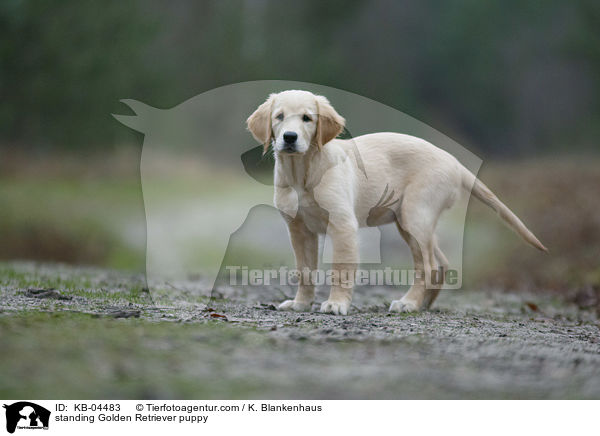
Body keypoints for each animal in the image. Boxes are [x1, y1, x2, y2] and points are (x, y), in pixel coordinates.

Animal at [246, 89, 548, 314]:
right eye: (279, 117)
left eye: (307, 118)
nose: (289, 137)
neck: (302, 173)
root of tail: (453, 161)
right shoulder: (299, 229)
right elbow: (305, 270)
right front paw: (300, 303)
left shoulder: (342, 225)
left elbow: (341, 269)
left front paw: (336, 304)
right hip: (411, 222)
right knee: (440, 263)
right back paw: (422, 305)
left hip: (415, 215)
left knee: (428, 266)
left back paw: (409, 303)